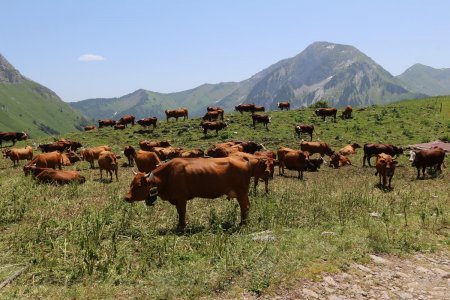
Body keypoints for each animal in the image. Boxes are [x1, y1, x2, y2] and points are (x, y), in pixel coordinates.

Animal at [125, 156, 255, 229]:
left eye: (139, 185)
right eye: (131, 183)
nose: (127, 197)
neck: (168, 174)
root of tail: (242, 158)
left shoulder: (181, 198)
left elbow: (182, 212)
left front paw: (182, 227)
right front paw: (180, 225)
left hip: (241, 192)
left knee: (245, 207)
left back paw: (242, 224)